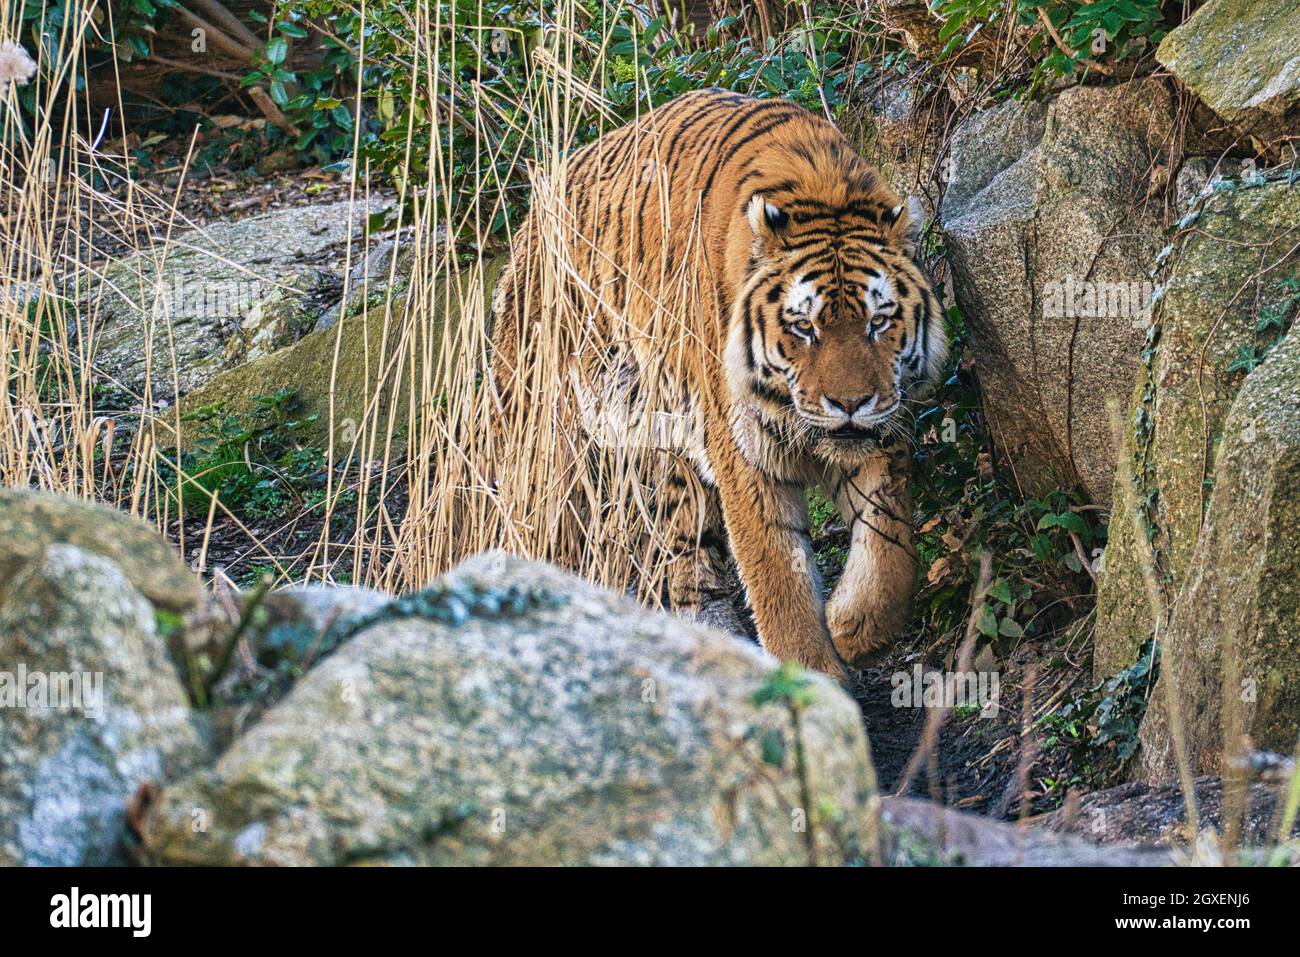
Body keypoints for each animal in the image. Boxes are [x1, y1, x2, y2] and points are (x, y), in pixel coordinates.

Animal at [490, 88, 947, 678]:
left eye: (879, 321)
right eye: (804, 327)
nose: (849, 403)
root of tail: (528, 225)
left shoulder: (883, 432)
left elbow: (891, 549)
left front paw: (854, 628)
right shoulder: (745, 456)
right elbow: (779, 581)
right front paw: (812, 682)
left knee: (682, 547)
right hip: (548, 443)